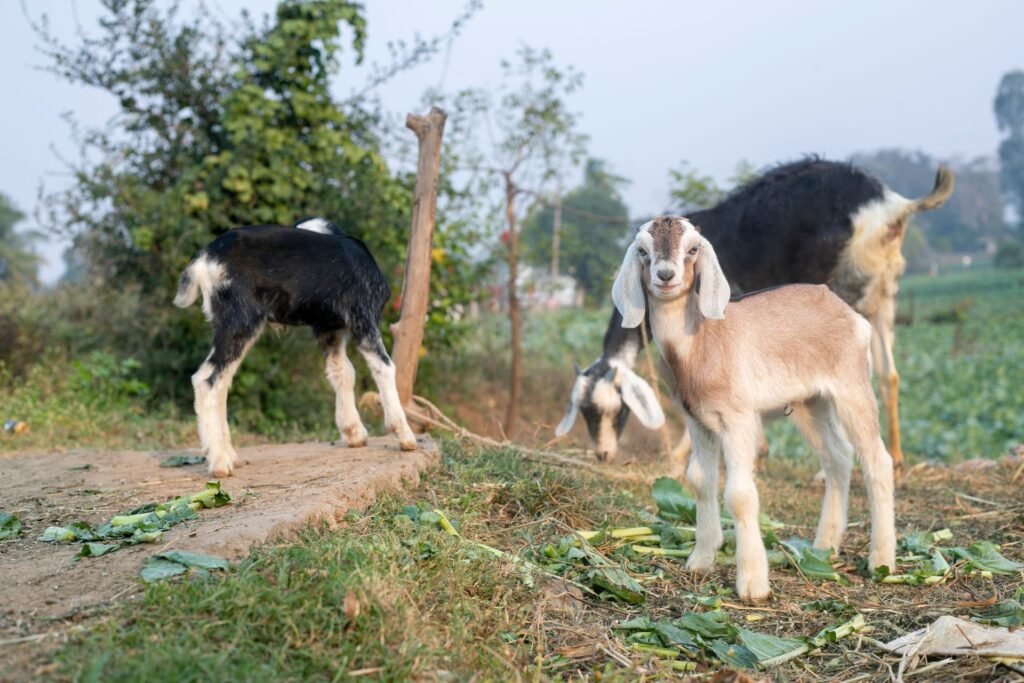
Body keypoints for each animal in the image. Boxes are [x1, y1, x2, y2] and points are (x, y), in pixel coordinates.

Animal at [174, 217, 418, 477]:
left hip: (230, 326)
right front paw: (404, 435)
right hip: (240, 322)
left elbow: (343, 372)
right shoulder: (364, 317)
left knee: (221, 382)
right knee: (206, 380)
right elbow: (384, 367)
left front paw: (353, 432)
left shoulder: (328, 329)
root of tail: (205, 259)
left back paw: (226, 453)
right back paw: (220, 461)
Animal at [562, 158, 953, 473]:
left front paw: (684, 455)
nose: (603, 455)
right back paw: (897, 458)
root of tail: (888, 206)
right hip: (882, 295)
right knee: (889, 374)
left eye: (614, 410)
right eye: (583, 410)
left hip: (841, 289)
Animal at [613, 216, 896, 601]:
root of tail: (851, 315)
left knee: (877, 461)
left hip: (852, 385)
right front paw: (700, 558)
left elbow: (740, 495)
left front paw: (752, 583)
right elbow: (699, 480)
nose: (666, 275)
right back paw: (824, 547)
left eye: (693, 249)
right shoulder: (697, 419)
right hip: (812, 402)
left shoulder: (739, 418)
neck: (702, 342)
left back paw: (882, 560)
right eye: (643, 251)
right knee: (837, 457)